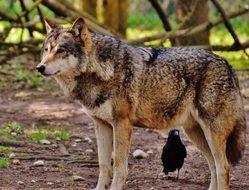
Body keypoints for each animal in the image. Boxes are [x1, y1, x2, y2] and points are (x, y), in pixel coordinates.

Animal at [36, 17, 246, 190]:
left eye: (61, 50)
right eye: (46, 50)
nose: (40, 67)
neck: (101, 70)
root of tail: (228, 64)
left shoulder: (122, 124)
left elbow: (119, 166)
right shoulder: (101, 125)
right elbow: (103, 166)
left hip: (211, 134)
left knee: (223, 167)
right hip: (195, 133)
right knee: (213, 166)